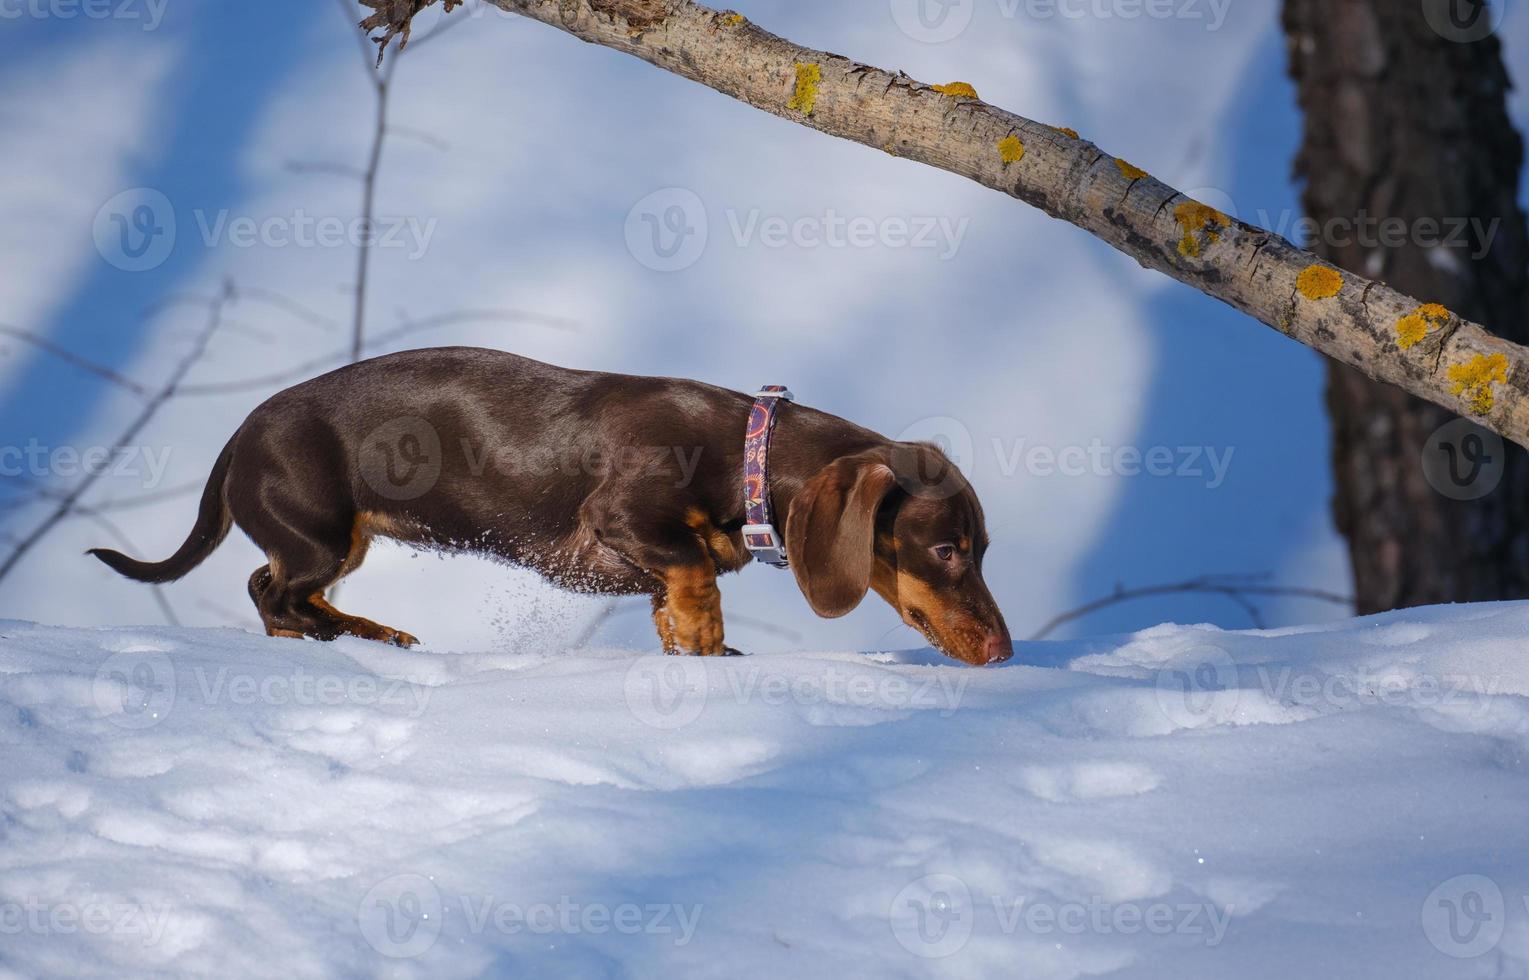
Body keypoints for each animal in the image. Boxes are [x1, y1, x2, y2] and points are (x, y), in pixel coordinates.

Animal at [89, 348, 1009, 660]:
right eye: (947, 550)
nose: (1003, 651)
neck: (746, 452)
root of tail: (238, 436)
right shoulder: (627, 520)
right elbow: (697, 582)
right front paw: (709, 644)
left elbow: (676, 598)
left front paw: (696, 650)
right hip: (317, 534)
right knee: (271, 592)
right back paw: (350, 636)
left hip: (338, 543)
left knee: (282, 594)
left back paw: (365, 634)